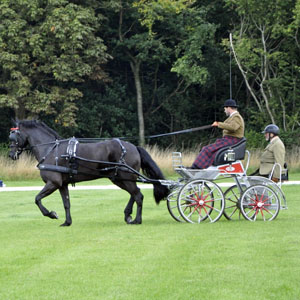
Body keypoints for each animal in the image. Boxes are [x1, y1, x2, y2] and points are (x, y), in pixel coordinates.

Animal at [8, 120, 169, 226]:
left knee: (138, 195)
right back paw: (128, 215)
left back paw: (136, 220)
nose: (11, 154)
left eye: (13, 137)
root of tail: (134, 147)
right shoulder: (62, 184)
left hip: (125, 177)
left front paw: (52, 214)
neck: (51, 150)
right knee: (135, 193)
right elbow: (66, 203)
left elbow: (37, 199)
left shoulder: (53, 183)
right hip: (119, 178)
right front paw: (67, 222)